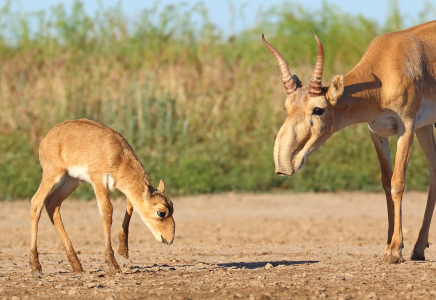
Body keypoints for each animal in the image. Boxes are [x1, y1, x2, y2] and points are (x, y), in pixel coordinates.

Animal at [29, 118, 176, 274]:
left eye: (172, 206)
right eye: (161, 212)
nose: (169, 239)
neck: (117, 153)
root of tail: (47, 138)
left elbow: (130, 205)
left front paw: (123, 250)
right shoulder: (98, 180)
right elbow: (107, 211)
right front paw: (113, 264)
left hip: (72, 180)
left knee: (52, 203)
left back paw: (77, 265)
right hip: (53, 174)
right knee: (36, 201)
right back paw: (36, 266)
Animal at [264, 21, 436, 264]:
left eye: (318, 109)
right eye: (286, 108)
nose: (283, 165)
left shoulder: (407, 126)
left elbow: (397, 183)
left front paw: (395, 250)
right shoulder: (376, 130)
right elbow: (386, 182)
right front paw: (389, 244)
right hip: (426, 127)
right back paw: (419, 248)